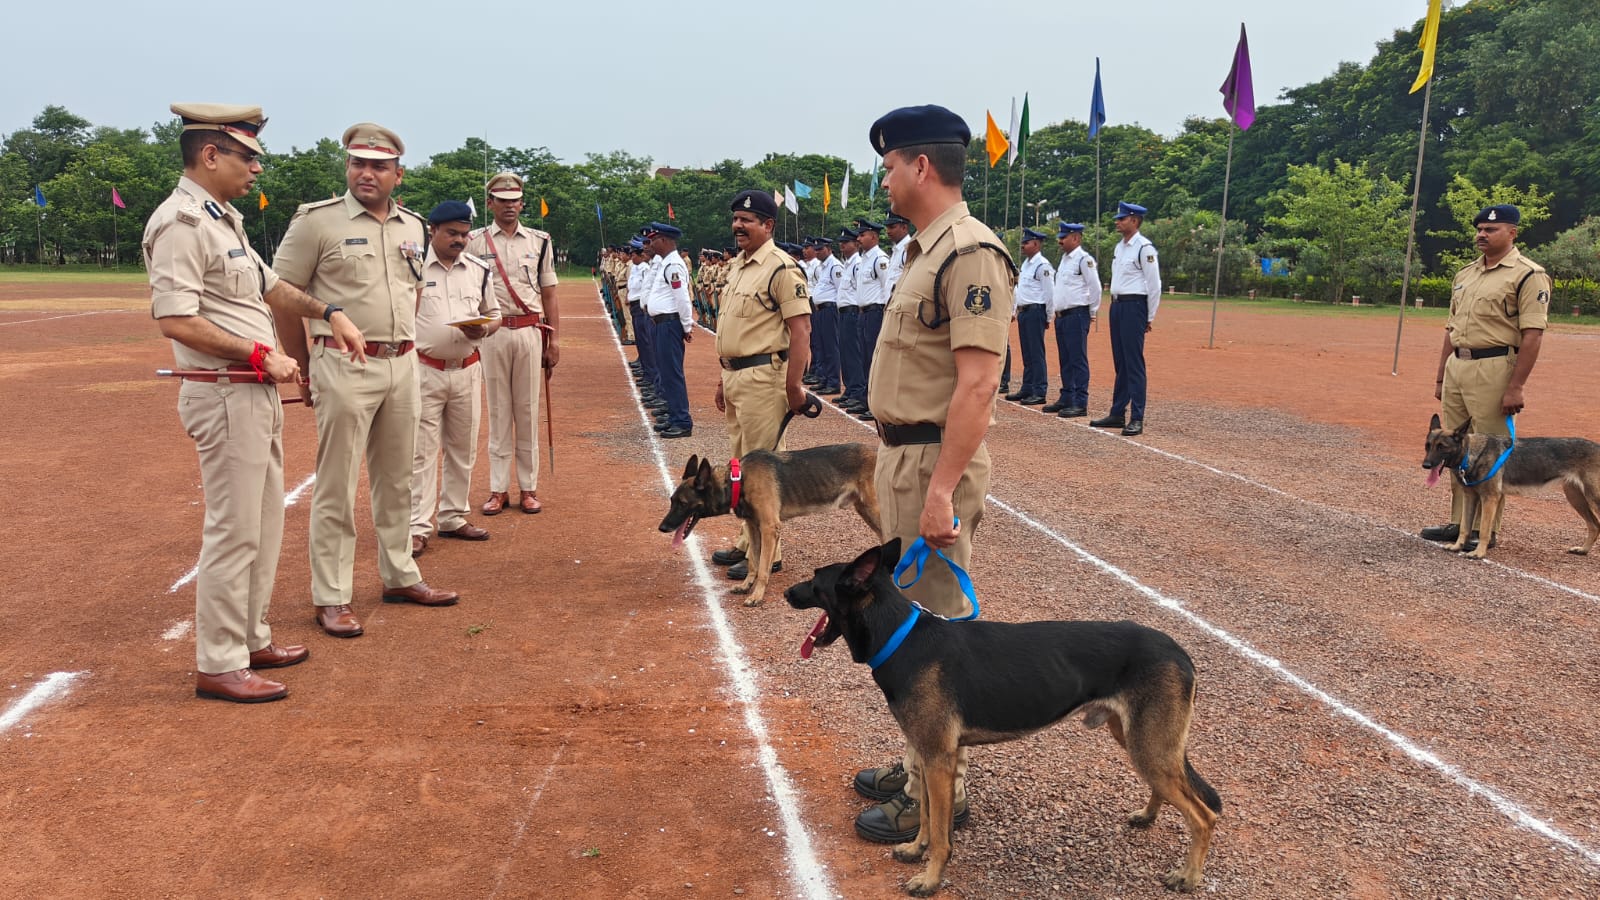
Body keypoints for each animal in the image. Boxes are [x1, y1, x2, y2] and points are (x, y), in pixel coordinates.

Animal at [1420, 413, 1600, 554]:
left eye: (1442, 447)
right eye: (1428, 446)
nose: (1426, 465)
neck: (1472, 454)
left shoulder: (1490, 498)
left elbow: (1484, 529)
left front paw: (1478, 553)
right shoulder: (1470, 497)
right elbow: (1464, 527)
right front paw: (1457, 546)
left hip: (1591, 500)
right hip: (1576, 499)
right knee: (1594, 526)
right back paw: (1583, 550)